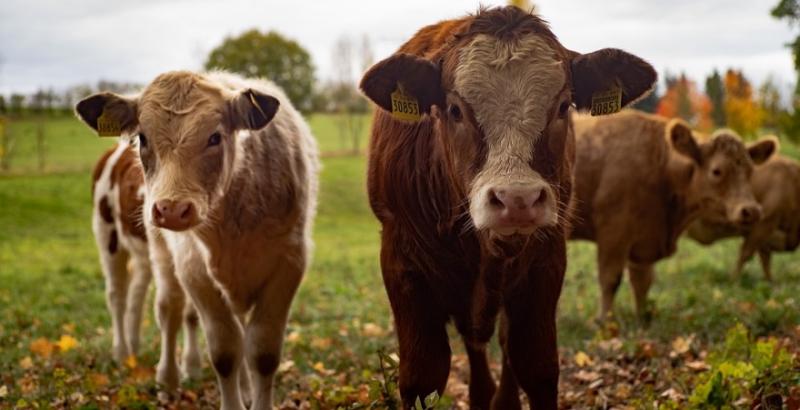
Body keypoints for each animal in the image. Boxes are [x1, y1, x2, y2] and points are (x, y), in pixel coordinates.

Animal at [360, 5, 656, 406]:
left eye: (563, 106)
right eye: (454, 109)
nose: (518, 199)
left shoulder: (546, 261)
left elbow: (536, 365)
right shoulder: (402, 263)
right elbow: (423, 375)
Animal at [568, 110, 776, 322]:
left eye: (750, 171)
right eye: (716, 171)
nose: (751, 210)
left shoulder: (644, 241)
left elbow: (642, 282)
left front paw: (642, 319)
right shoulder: (613, 234)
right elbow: (610, 279)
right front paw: (605, 322)